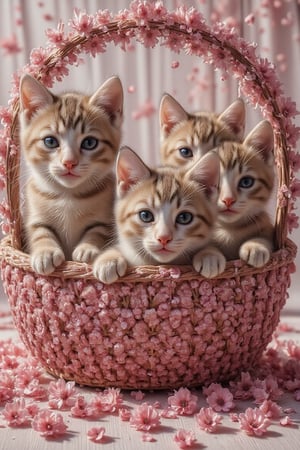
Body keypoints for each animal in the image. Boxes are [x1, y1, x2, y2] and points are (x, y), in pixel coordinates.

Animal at [19, 74, 123, 274]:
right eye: (50, 141)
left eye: (89, 143)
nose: (69, 162)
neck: (68, 195)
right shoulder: (33, 216)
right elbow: (39, 231)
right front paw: (45, 251)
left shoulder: (107, 219)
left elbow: (98, 230)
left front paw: (88, 247)